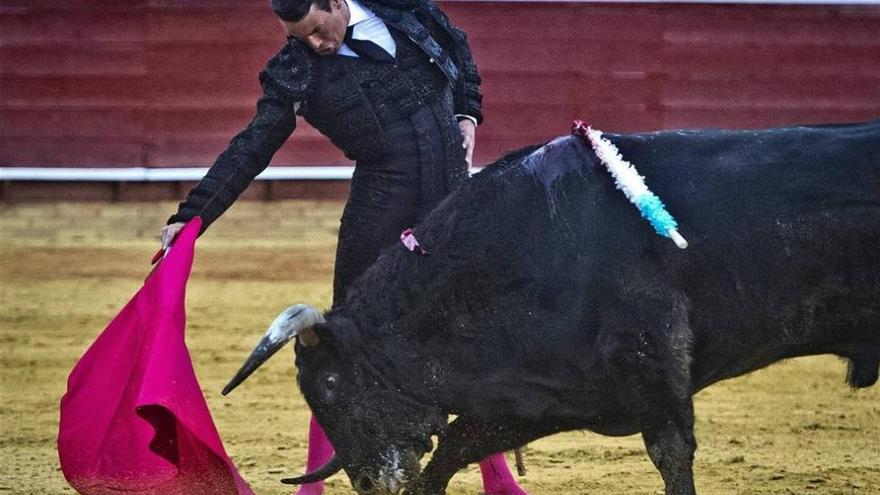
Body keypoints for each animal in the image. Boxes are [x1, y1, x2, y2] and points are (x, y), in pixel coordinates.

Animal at [223, 121, 876, 495]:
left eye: (331, 385)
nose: (364, 480)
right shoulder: (550, 393)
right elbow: (456, 447)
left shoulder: (653, 382)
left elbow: (672, 458)